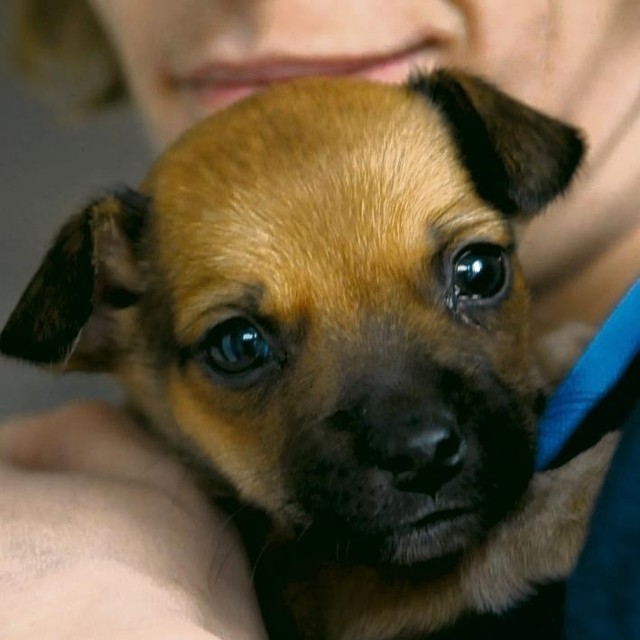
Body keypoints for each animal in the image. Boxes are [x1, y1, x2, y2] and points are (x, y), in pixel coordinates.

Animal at [1, 71, 620, 640]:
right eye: (238, 345)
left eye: (479, 271)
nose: (422, 454)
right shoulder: (334, 592)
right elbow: (498, 537)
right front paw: (586, 489)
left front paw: (560, 344)